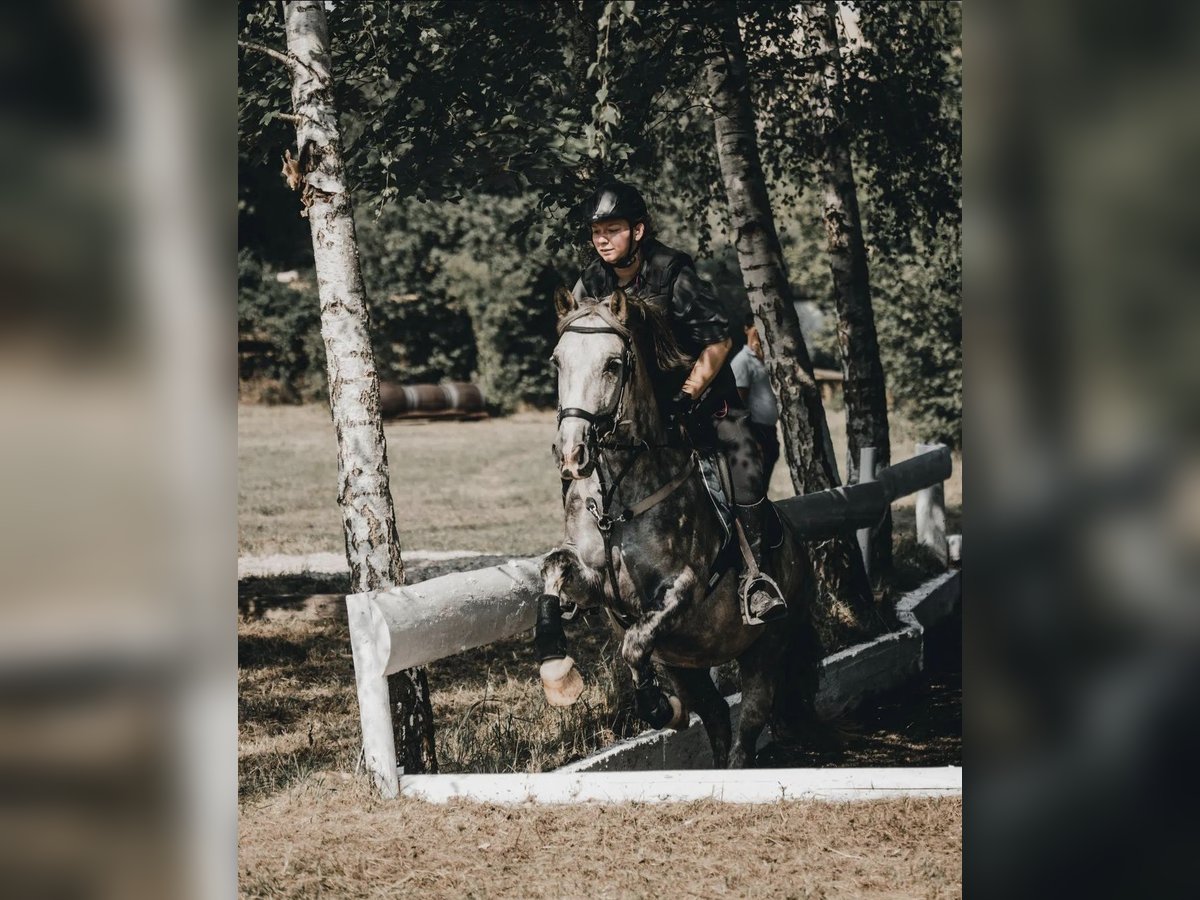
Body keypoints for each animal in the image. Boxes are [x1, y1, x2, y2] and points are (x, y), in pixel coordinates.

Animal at [537, 289, 825, 768]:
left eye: (613, 364)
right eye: (558, 362)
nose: (572, 454)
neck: (619, 498)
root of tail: (801, 550)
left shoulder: (683, 587)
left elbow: (634, 646)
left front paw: (658, 707)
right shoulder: (596, 581)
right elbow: (554, 567)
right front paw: (555, 669)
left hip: (766, 647)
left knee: (750, 721)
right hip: (686, 663)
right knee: (716, 716)